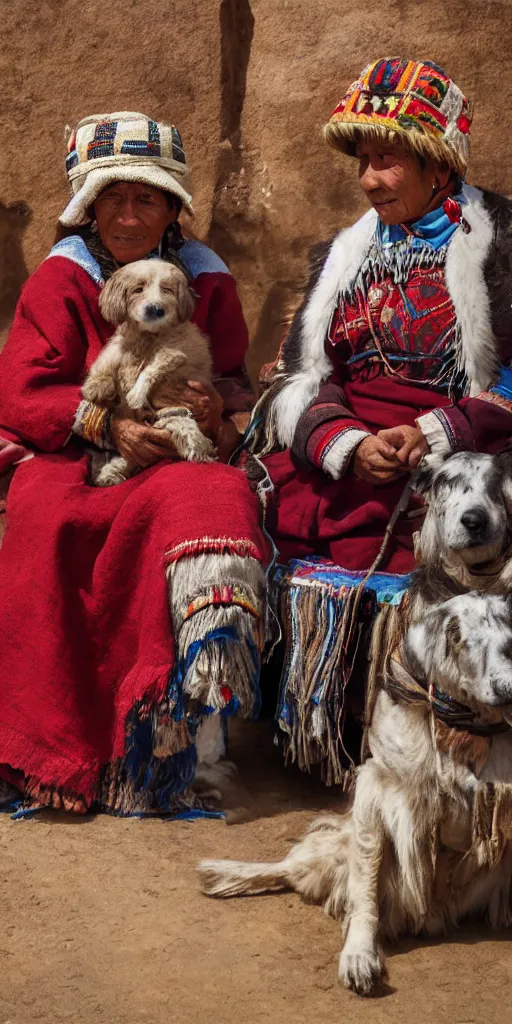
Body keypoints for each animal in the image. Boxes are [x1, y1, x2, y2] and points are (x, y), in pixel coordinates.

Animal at [82, 262, 215, 489]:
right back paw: (110, 472)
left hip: (174, 412)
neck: (147, 336)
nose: (155, 309)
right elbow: (108, 357)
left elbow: (153, 367)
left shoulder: (175, 352)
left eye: (167, 290)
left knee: (183, 425)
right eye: (138, 289)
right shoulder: (120, 345)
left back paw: (199, 447)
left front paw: (136, 393)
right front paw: (96, 385)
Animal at [196, 452, 512, 995]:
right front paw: (360, 956)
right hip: (333, 845)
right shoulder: (377, 792)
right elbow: (365, 891)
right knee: (293, 866)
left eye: (497, 485)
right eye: (449, 482)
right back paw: (227, 872)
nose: (474, 521)